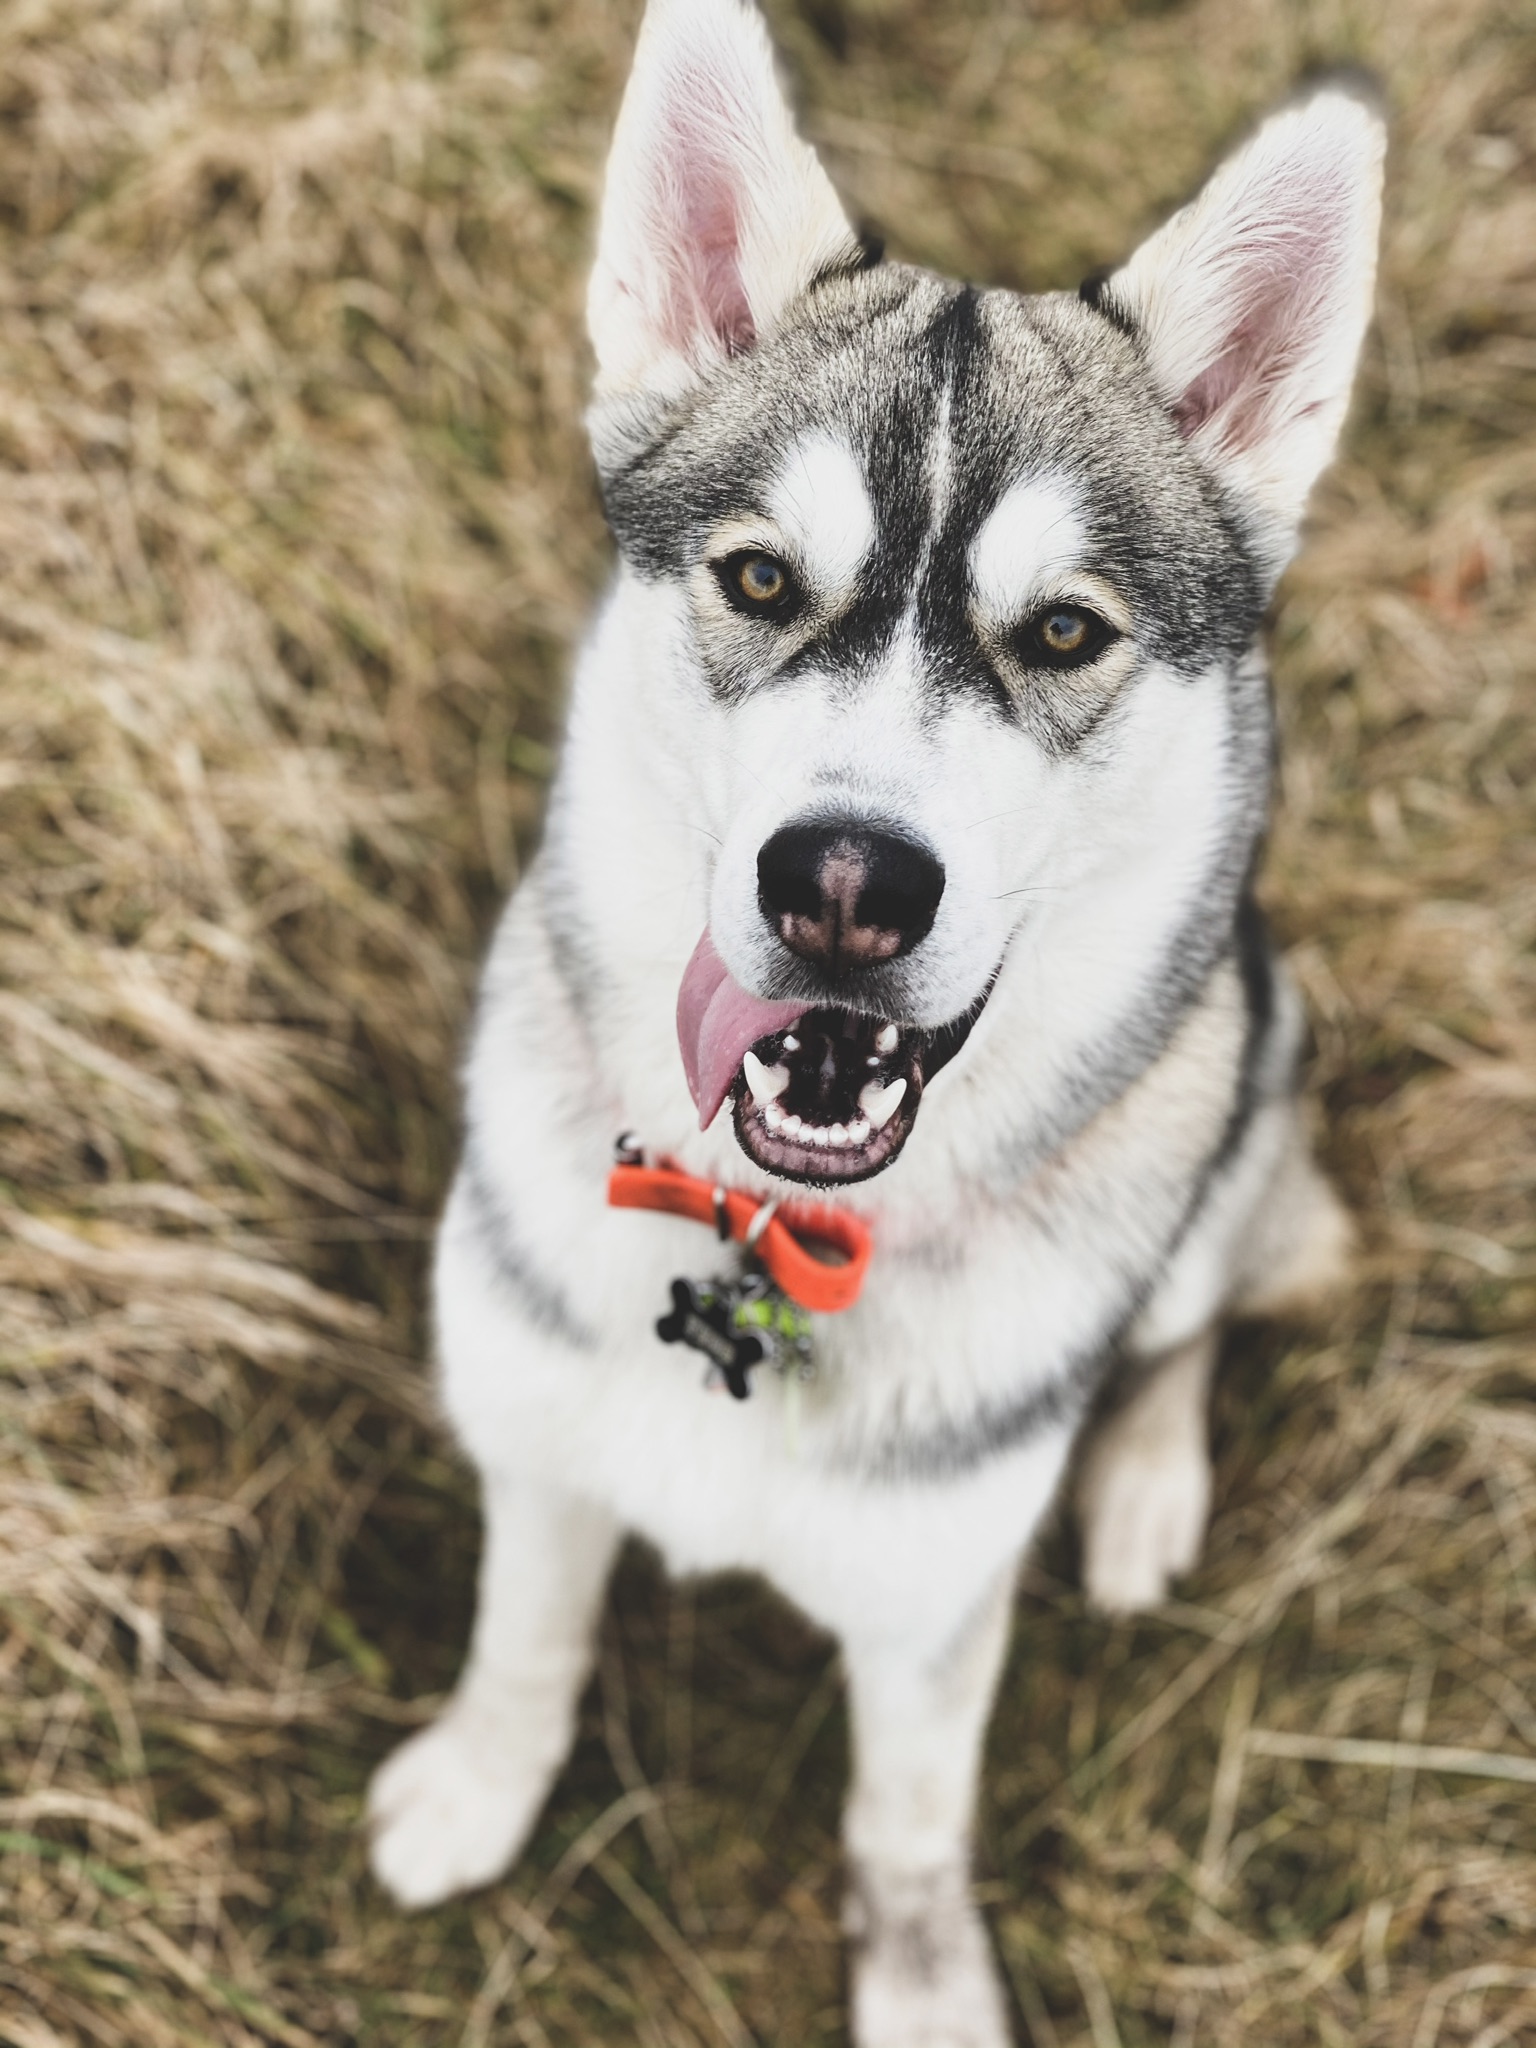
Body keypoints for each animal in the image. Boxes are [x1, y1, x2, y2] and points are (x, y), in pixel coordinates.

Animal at [366, 4, 1382, 2039]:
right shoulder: (533, 1441)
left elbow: (905, 1824)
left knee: (1185, 1316)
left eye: (1064, 634)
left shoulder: (930, 1606)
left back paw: (1142, 1484)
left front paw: (920, 1988)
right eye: (762, 578)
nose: (843, 880)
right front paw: (479, 1783)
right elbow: (527, 1635)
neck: (759, 1241)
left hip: (1241, 1067)